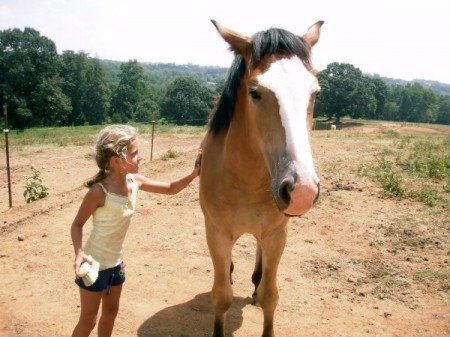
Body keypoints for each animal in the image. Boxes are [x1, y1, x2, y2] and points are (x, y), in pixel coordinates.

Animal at [200, 19, 324, 334]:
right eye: (254, 92)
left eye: (315, 93)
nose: (302, 190)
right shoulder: (217, 233)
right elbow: (221, 296)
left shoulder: (276, 234)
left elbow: (270, 296)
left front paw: (261, 293)